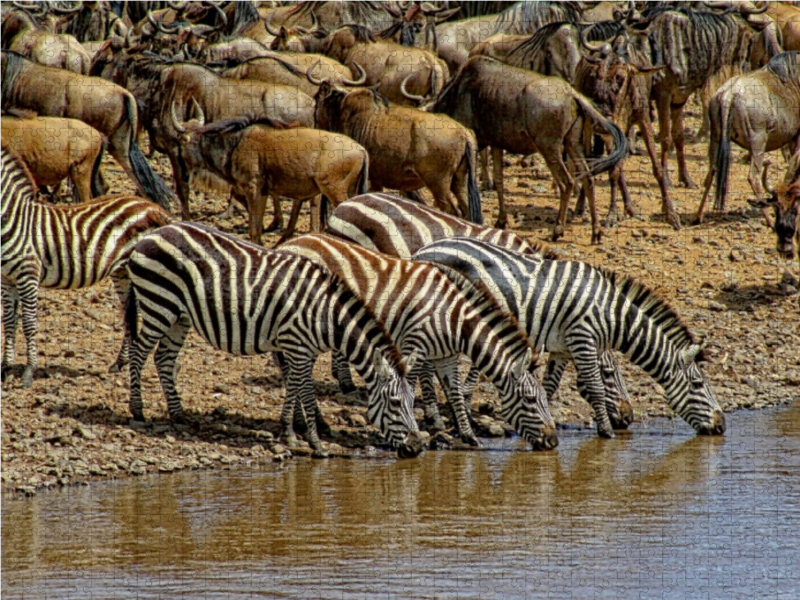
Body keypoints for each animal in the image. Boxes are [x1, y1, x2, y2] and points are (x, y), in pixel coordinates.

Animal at [1, 148, 172, 386]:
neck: (15, 220)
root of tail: (152, 206)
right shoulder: (7, 280)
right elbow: (9, 322)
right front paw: (6, 368)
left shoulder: (28, 275)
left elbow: (28, 323)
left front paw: (28, 372)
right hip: (123, 272)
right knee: (130, 313)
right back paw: (121, 363)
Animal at [123, 223, 424, 458]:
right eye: (395, 403)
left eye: (413, 401)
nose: (416, 448)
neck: (325, 315)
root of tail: (151, 234)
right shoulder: (297, 345)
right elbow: (304, 390)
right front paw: (315, 442)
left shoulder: (300, 348)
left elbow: (294, 386)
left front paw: (289, 431)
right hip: (158, 304)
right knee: (138, 353)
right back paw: (137, 411)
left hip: (179, 316)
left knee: (163, 358)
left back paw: (178, 414)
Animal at [278, 232, 560, 448]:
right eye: (531, 399)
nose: (554, 442)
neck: (453, 319)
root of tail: (290, 243)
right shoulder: (413, 345)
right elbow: (410, 389)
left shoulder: (446, 357)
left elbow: (455, 393)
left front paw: (468, 435)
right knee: (294, 374)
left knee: (296, 374)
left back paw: (313, 422)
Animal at [324, 195, 632, 434]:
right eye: (608, 373)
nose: (629, 418)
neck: (533, 286)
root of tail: (345, 205)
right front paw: (461, 404)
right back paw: (346, 381)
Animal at [410, 237, 728, 438]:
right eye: (698, 384)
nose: (722, 426)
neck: (610, 313)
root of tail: (421, 251)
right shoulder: (582, 337)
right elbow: (595, 388)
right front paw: (606, 432)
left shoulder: (562, 348)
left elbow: (549, 388)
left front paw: (544, 418)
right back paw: (433, 420)